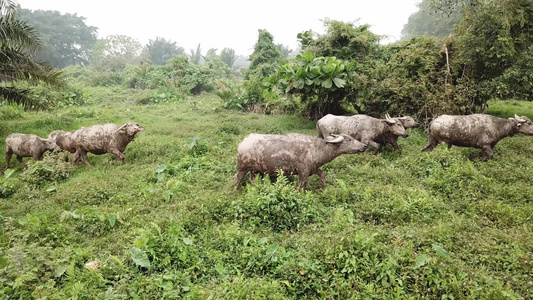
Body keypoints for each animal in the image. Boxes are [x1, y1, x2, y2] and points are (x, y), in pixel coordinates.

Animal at [235, 133, 368, 190]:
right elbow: (301, 186)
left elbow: (322, 174)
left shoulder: (313, 169)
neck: (316, 149)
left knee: (251, 180)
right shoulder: (303, 172)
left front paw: (320, 185)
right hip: (242, 168)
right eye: (349, 139)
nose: (364, 146)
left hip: (255, 170)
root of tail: (243, 142)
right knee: (237, 180)